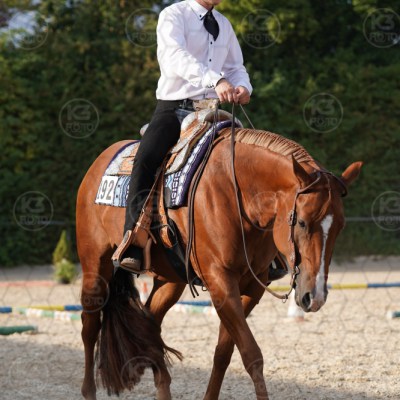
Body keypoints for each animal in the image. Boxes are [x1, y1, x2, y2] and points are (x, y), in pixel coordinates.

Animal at [76, 124, 362, 400]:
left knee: (151, 325)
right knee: (90, 327)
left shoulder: (251, 287)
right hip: (95, 269)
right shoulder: (220, 282)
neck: (239, 196)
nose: (315, 297)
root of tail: (98, 163)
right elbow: (252, 354)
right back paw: (89, 391)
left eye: (340, 226)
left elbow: (224, 353)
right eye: (301, 222)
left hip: (170, 282)